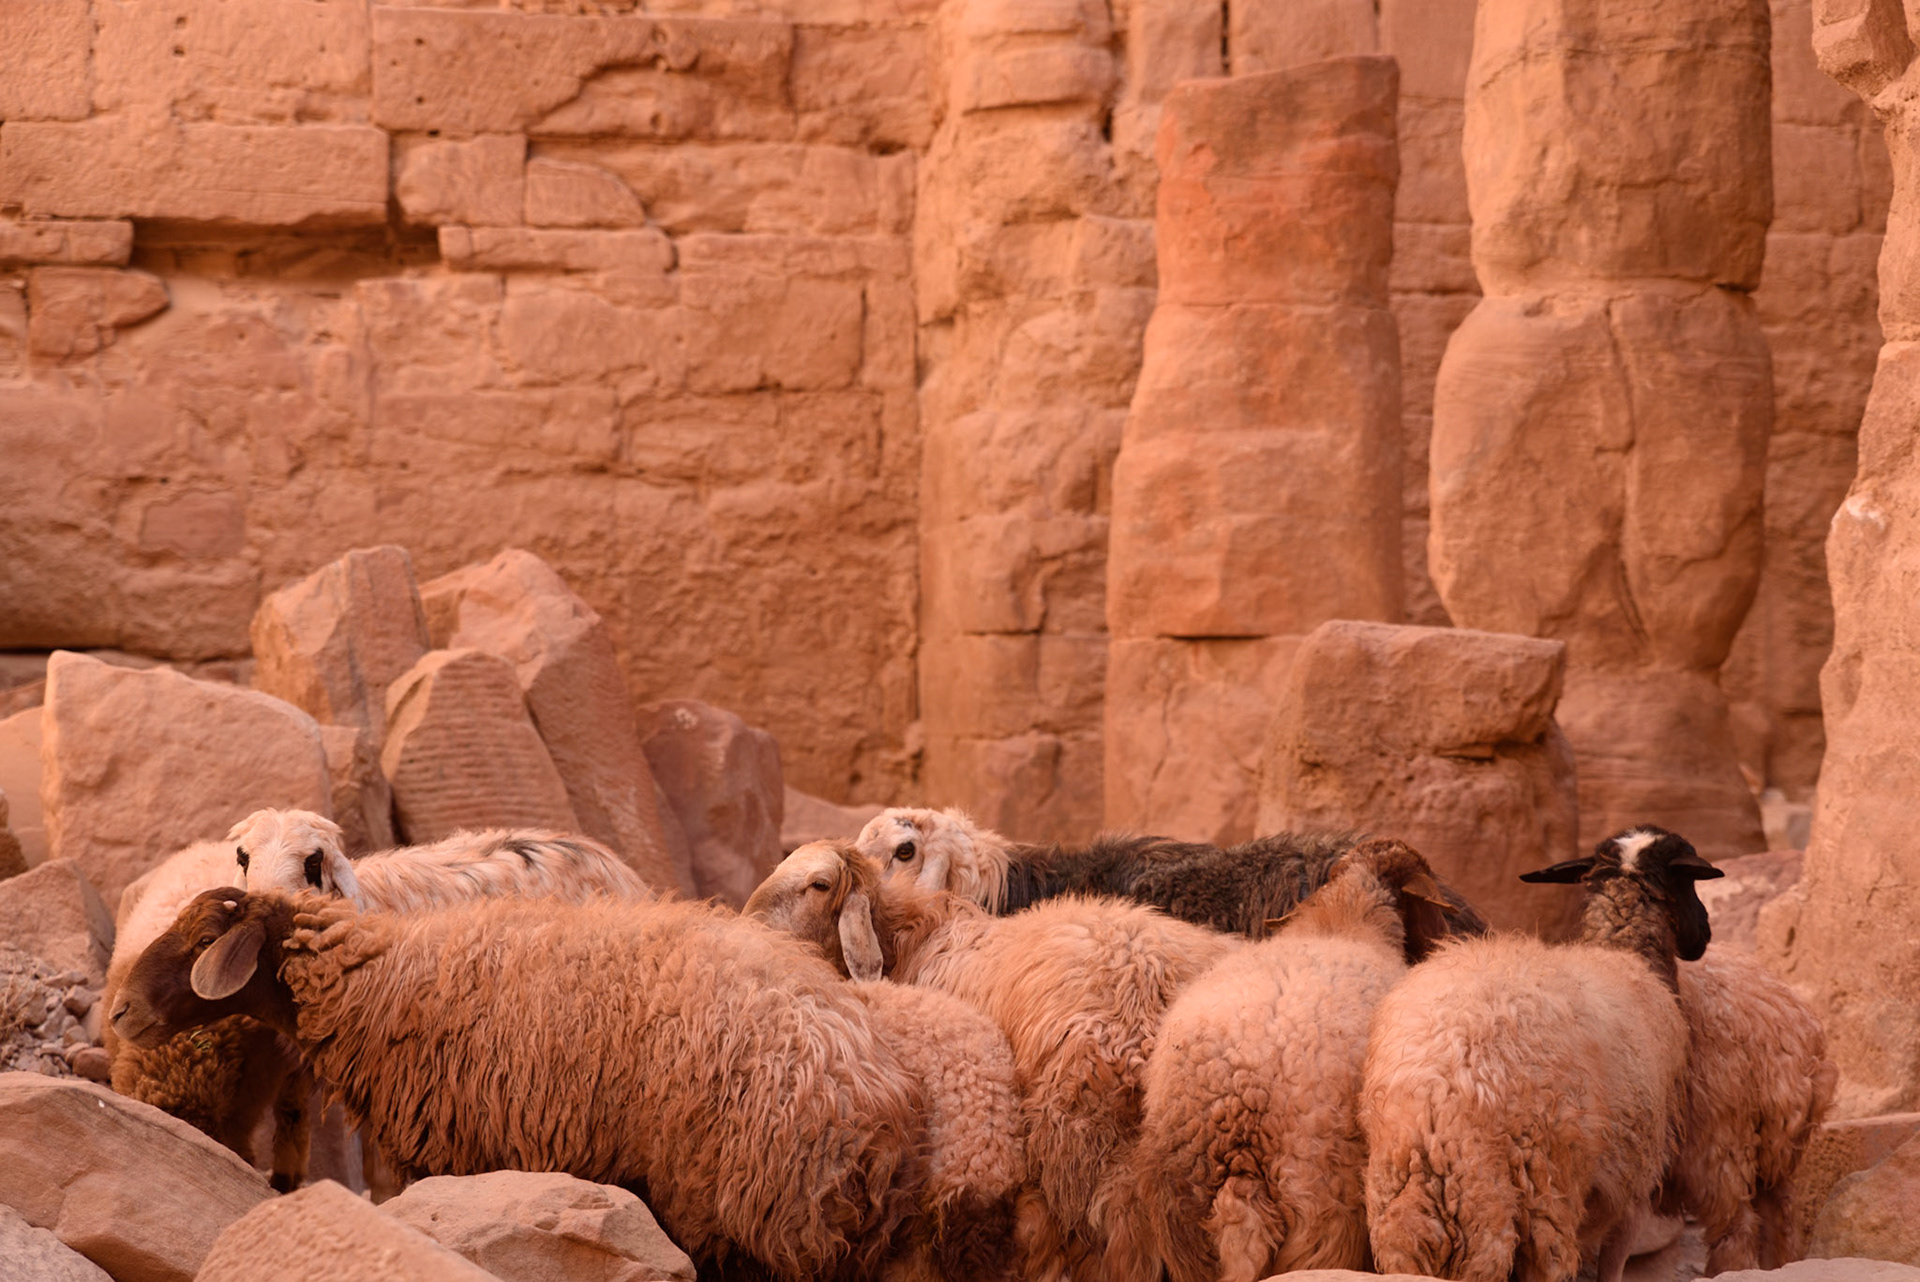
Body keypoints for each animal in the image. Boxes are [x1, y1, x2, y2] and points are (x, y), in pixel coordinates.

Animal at [110, 888, 929, 1281]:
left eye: (200, 941)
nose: (118, 1012)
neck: (376, 981)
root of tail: (871, 1094)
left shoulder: (447, 1150)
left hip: (747, 1210)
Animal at [746, 839, 1237, 1282]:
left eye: (819, 884)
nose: (750, 926)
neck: (909, 939)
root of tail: (1153, 992)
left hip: (1084, 1141)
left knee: (1120, 1239)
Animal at [1360, 826, 1723, 1282]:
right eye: (1691, 881)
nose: (1705, 934)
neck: (1626, 953)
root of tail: (1442, 1096)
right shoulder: (1636, 1186)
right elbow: (1612, 1266)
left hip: (1403, 1210)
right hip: (1533, 1194)